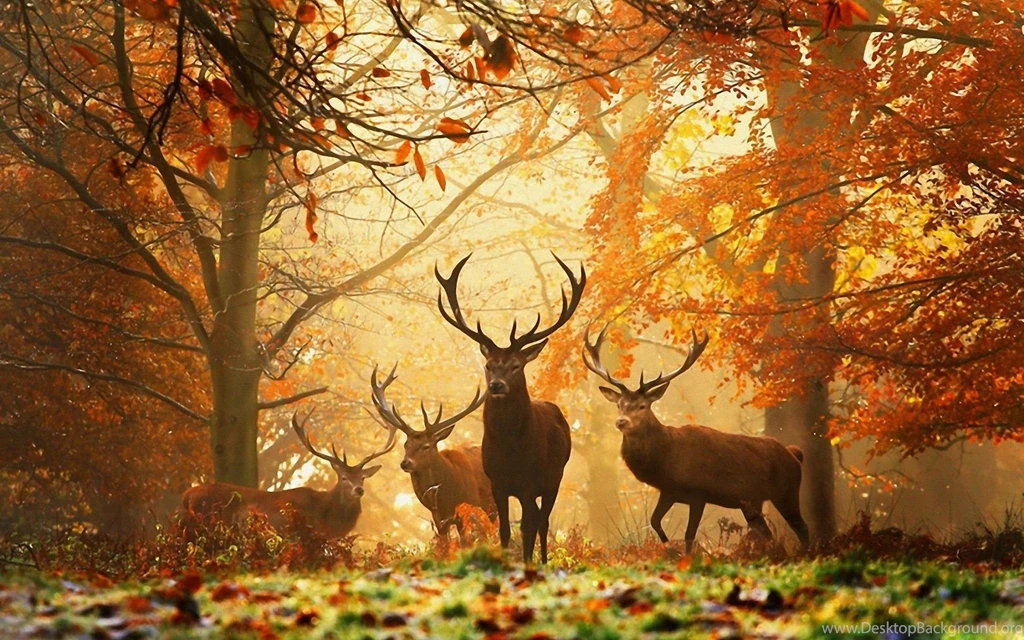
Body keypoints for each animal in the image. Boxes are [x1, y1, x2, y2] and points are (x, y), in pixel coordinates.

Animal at [435, 253, 585, 564]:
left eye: (516, 365)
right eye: (488, 365)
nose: (496, 385)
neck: (510, 451)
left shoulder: (529, 483)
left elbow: (527, 528)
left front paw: (527, 564)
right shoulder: (497, 483)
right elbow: (504, 530)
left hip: (554, 477)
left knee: (543, 521)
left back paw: (543, 561)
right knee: (538, 519)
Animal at [583, 327, 810, 554]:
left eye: (642, 406)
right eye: (619, 404)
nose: (621, 421)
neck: (667, 459)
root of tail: (794, 454)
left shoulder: (699, 493)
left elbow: (689, 534)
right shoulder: (669, 491)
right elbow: (655, 521)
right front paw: (669, 549)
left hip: (786, 491)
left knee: (803, 528)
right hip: (752, 502)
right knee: (767, 533)